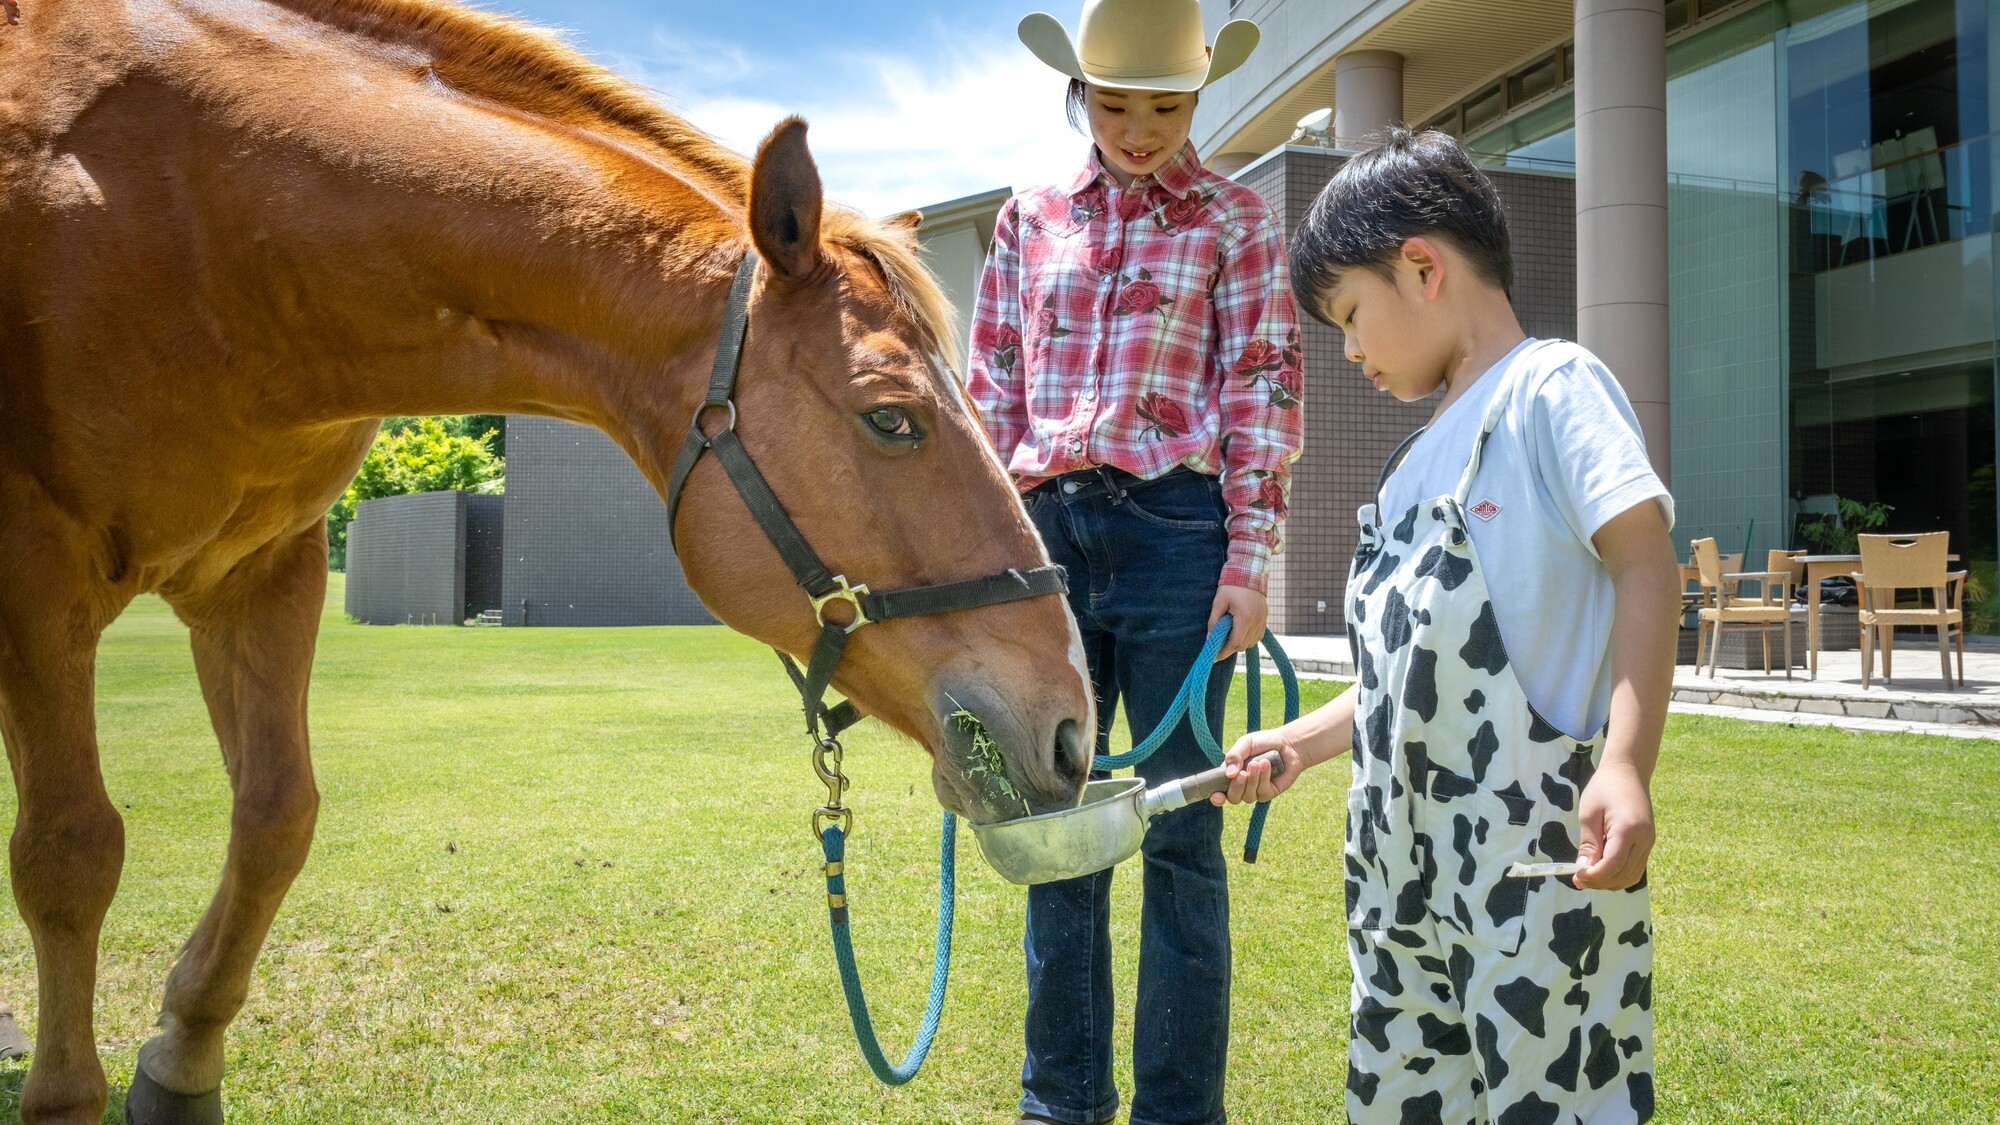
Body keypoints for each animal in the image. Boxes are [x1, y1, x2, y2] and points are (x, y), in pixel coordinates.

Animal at [0, 4, 1096, 1112]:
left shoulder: (266, 571)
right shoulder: (35, 571)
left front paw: (180, 1059)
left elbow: (275, 818)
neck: (207, 222)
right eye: (892, 418)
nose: (1070, 733)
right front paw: (65, 1092)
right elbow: (69, 851)